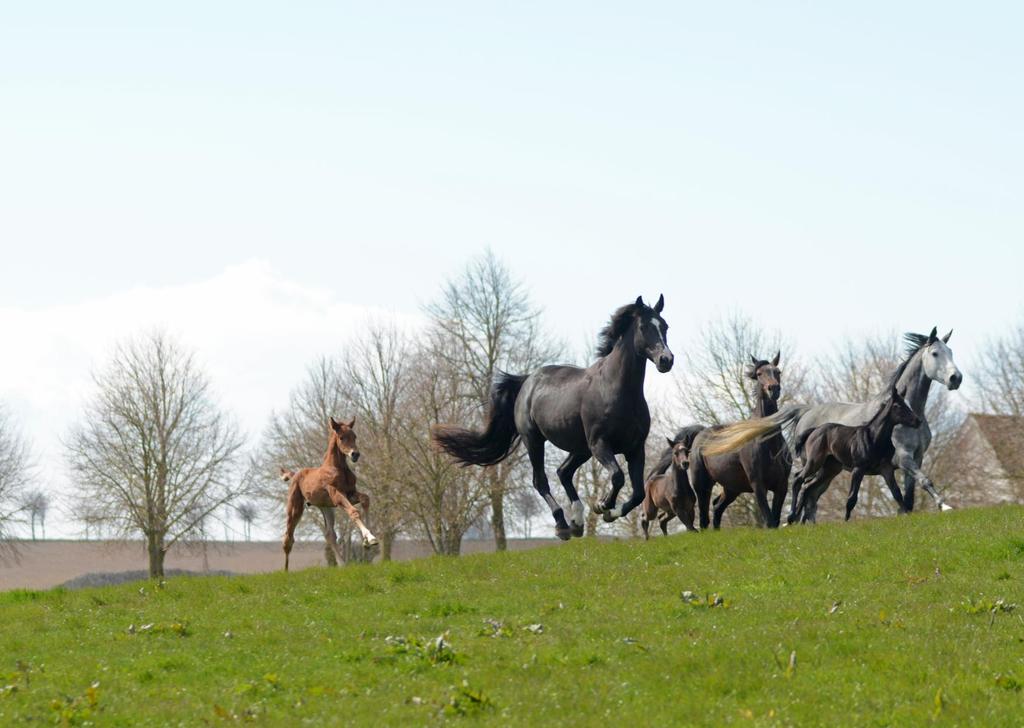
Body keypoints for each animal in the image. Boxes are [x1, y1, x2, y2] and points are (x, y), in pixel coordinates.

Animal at [430, 296, 675, 540]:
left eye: (664, 326)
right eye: (643, 327)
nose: (666, 360)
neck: (615, 389)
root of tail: (527, 381)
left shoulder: (635, 449)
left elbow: (638, 493)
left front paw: (609, 512)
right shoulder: (600, 444)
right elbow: (617, 476)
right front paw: (603, 505)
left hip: (580, 448)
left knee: (563, 472)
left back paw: (577, 522)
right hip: (535, 440)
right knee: (541, 481)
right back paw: (563, 525)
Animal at [704, 327, 958, 520]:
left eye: (951, 352)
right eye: (935, 353)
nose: (956, 378)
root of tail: (805, 412)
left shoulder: (914, 458)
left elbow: (909, 494)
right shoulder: (903, 458)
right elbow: (924, 480)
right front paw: (945, 506)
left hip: (830, 469)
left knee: (811, 494)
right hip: (816, 465)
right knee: (806, 490)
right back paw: (794, 520)